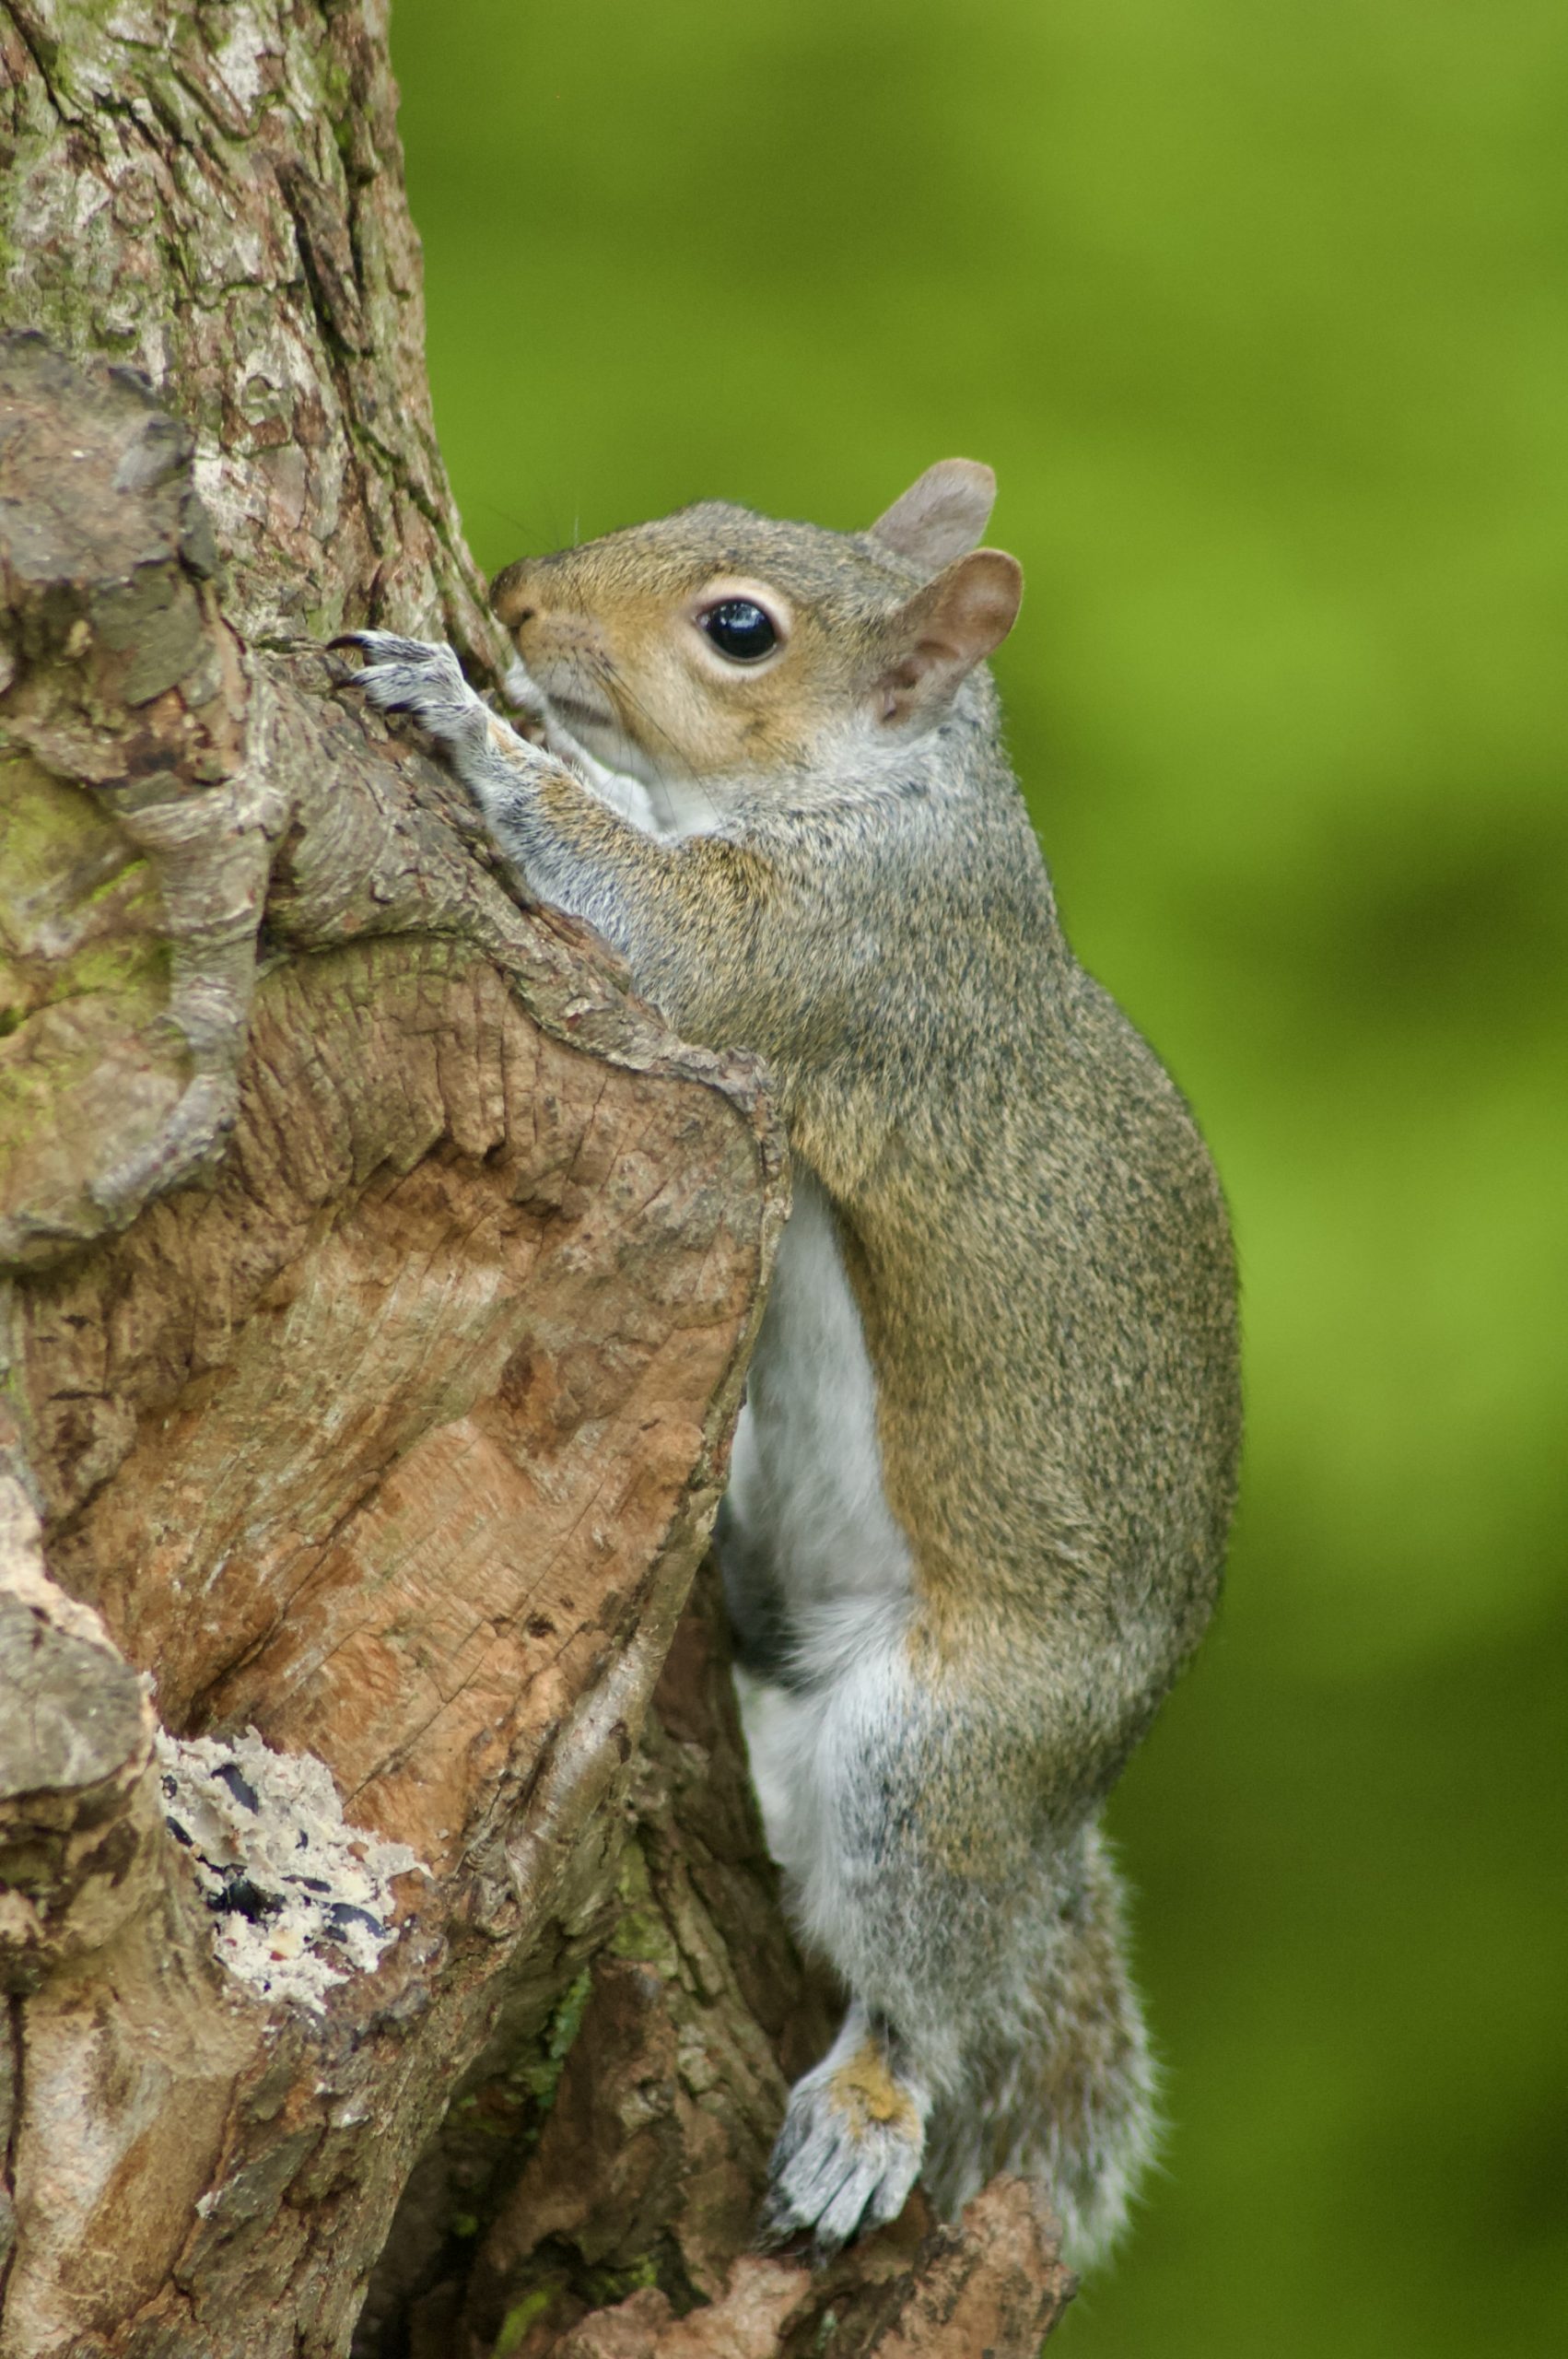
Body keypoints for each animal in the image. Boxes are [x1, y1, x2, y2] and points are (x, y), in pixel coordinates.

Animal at [337, 459, 1241, 2269]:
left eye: (739, 629)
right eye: (698, 505)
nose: (519, 593)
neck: (907, 796)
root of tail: (1065, 1808)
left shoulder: (829, 948)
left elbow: (660, 923)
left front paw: (466, 710)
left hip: (943, 1754)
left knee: (930, 1973)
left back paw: (868, 2112)